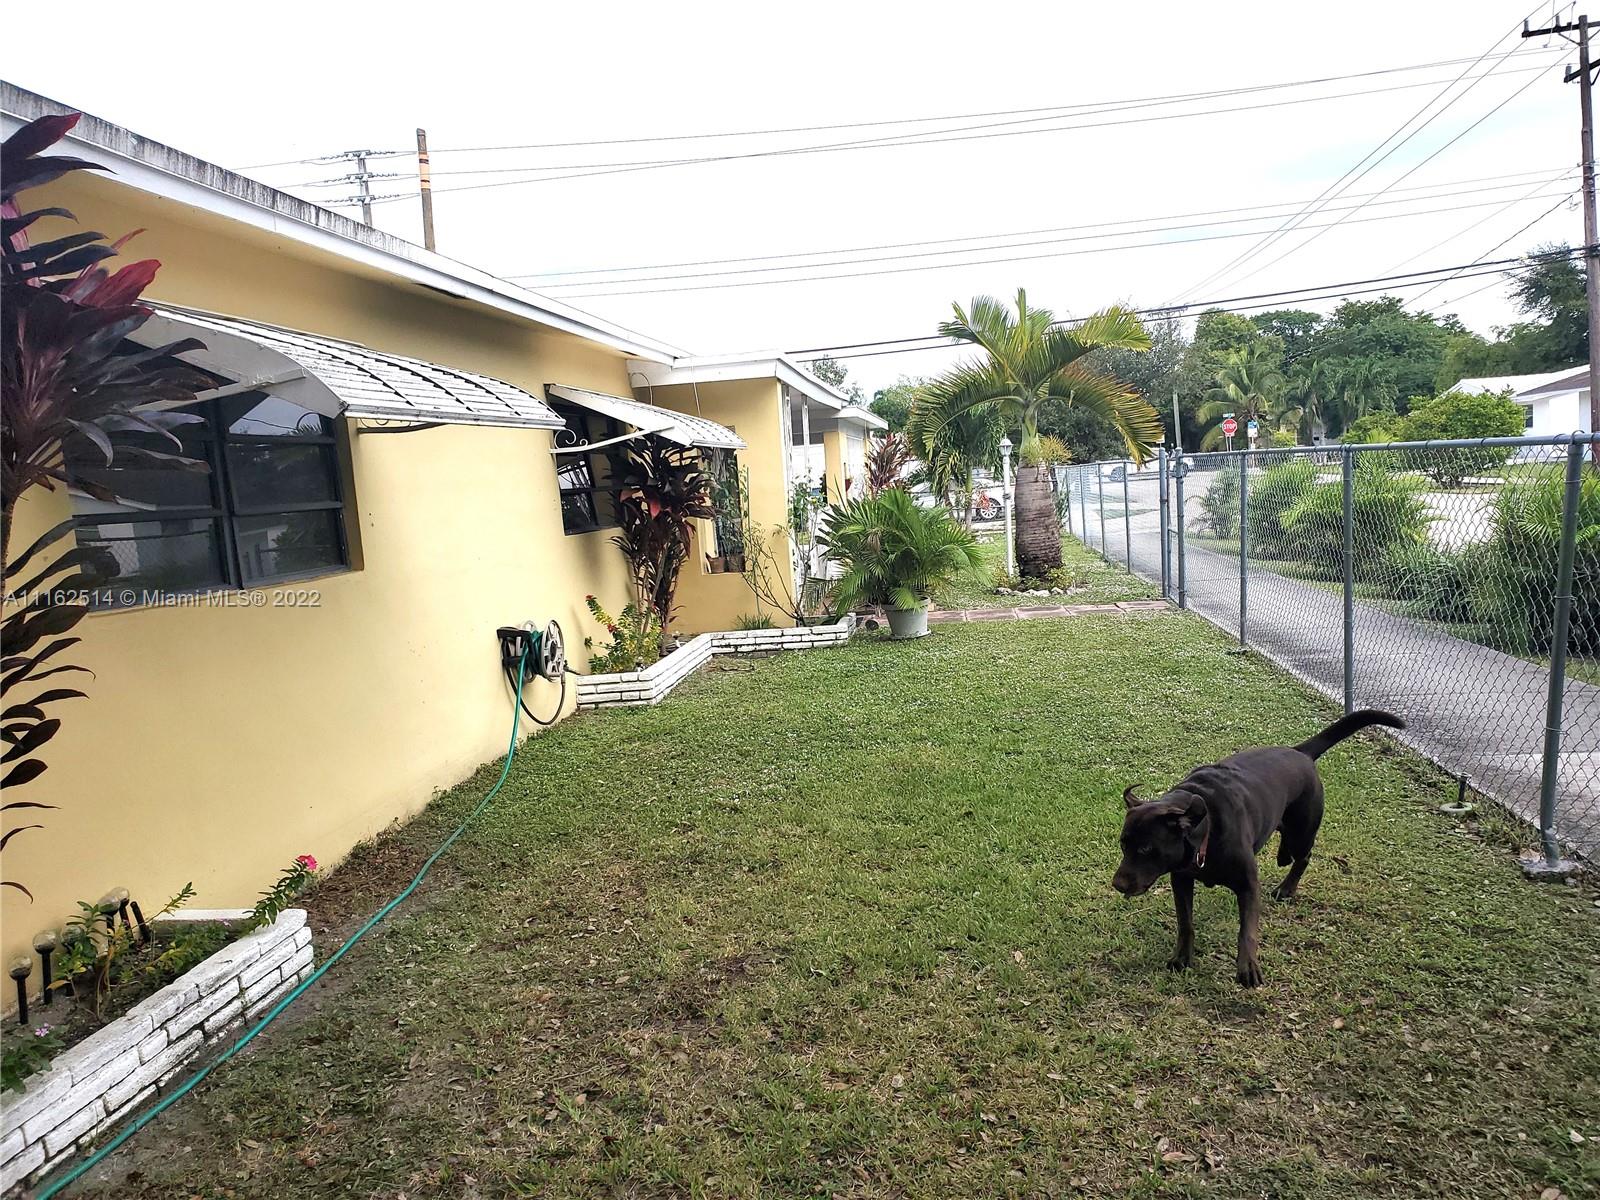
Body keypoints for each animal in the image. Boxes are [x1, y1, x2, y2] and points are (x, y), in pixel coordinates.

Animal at [1111, 708, 1404, 988]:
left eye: (1146, 849)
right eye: (1124, 844)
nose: (1117, 884)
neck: (1205, 828)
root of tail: (1300, 752)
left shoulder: (1248, 884)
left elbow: (1247, 931)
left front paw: (1248, 967)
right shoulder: (1181, 879)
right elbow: (1186, 923)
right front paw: (1182, 957)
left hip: (1302, 831)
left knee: (1303, 857)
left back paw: (1287, 887)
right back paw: (1282, 857)